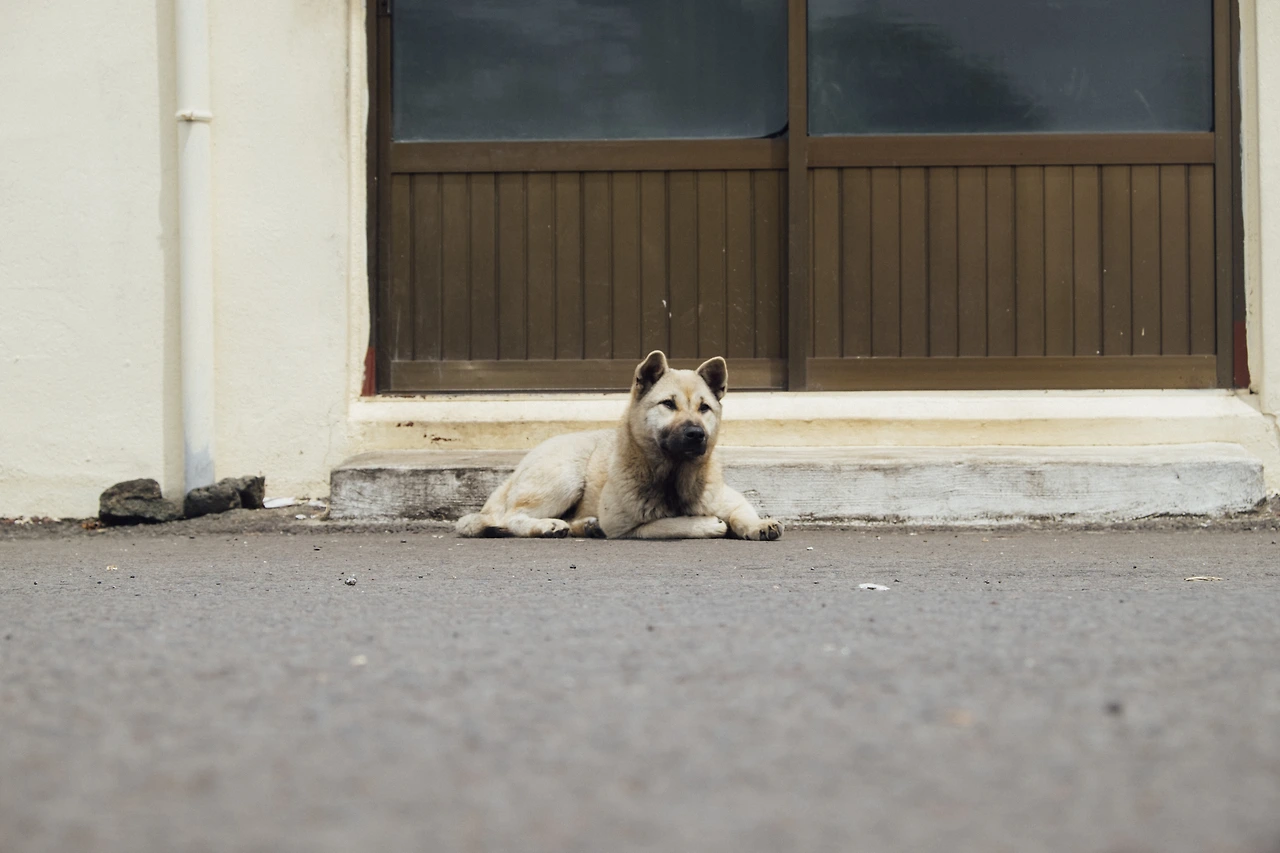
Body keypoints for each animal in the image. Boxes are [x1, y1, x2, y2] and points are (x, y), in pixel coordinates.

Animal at [455, 351, 782, 541]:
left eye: (704, 408)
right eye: (668, 404)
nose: (696, 434)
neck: (673, 475)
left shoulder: (733, 502)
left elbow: (742, 513)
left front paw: (758, 525)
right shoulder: (625, 527)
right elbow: (667, 525)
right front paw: (705, 525)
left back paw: (586, 526)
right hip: (564, 478)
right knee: (512, 518)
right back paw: (548, 526)